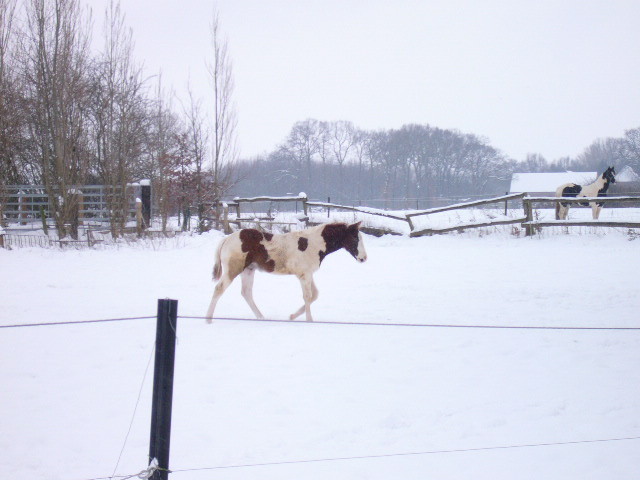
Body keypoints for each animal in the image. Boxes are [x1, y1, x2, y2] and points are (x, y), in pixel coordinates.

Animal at [205, 221, 364, 322]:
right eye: (355, 238)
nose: (364, 258)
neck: (314, 244)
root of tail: (226, 239)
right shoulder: (305, 275)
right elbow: (308, 296)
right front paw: (309, 320)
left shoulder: (306, 274)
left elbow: (314, 295)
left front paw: (292, 316)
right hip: (233, 269)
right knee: (219, 289)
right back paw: (208, 319)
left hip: (248, 270)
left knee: (246, 293)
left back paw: (261, 318)